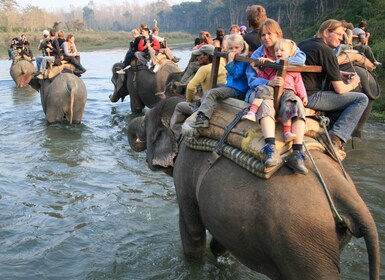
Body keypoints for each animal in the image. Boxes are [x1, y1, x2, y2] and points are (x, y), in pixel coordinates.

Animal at [127, 97, 380, 280]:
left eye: (147, 127)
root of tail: (348, 196)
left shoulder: (185, 173)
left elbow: (192, 230)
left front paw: (195, 264)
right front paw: (220, 255)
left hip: (305, 247)